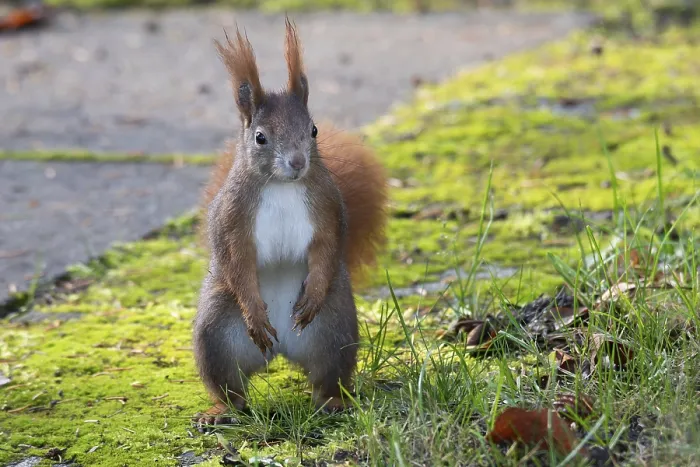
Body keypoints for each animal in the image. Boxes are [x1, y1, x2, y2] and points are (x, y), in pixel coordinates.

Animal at [192, 18, 388, 426]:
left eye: (313, 130)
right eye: (260, 138)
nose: (298, 162)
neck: (282, 185)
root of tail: (280, 352)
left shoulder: (328, 207)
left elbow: (328, 247)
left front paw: (311, 295)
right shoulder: (232, 219)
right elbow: (236, 261)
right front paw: (254, 312)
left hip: (335, 331)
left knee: (328, 377)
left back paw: (332, 402)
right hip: (216, 336)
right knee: (232, 388)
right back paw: (221, 410)